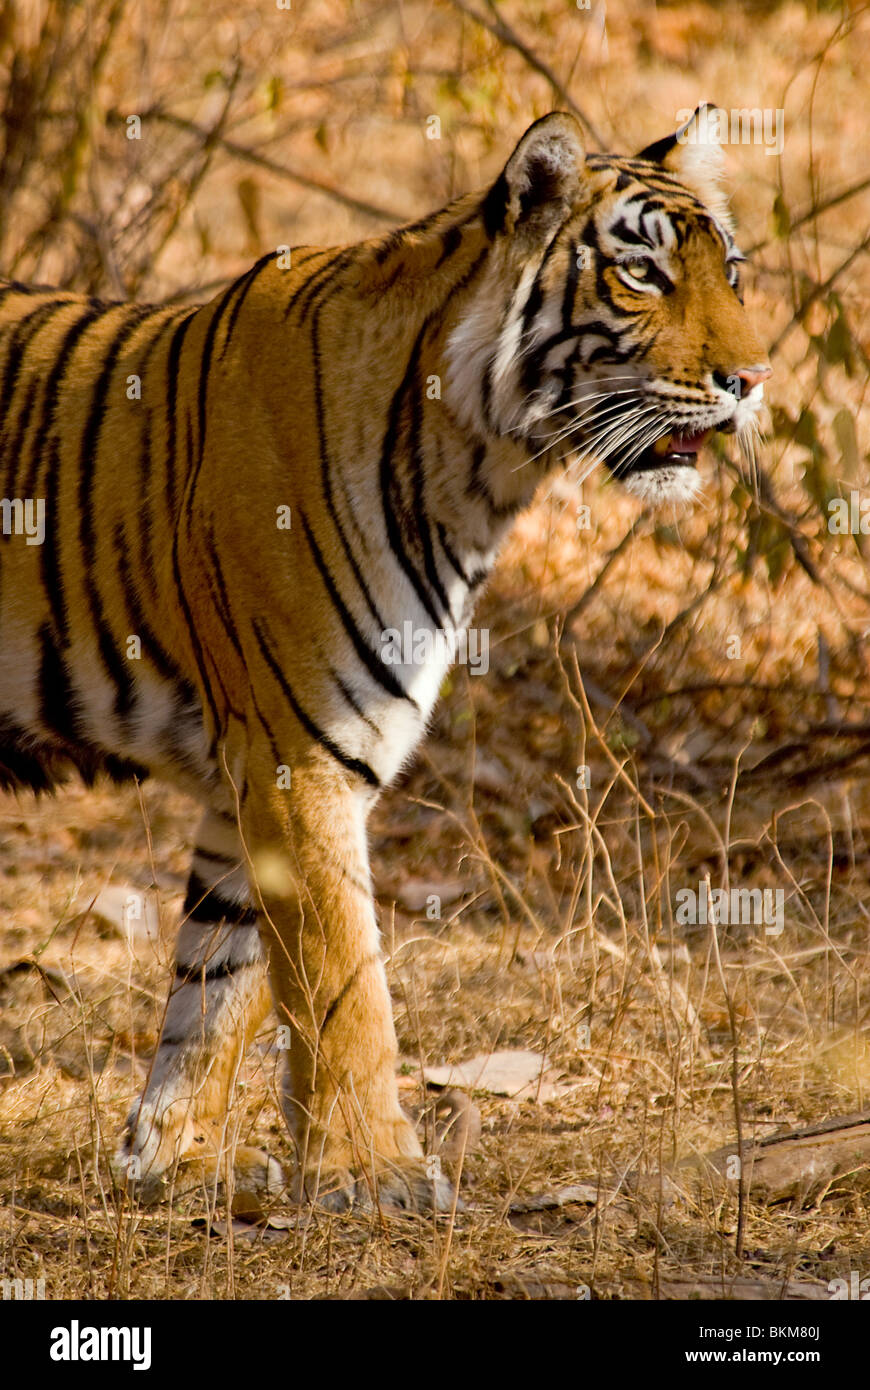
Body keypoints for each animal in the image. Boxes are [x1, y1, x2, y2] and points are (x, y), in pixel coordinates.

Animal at [0, 103, 769, 1212]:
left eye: (732, 271)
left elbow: (217, 981)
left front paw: (177, 1160)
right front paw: (381, 1169)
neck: (486, 468)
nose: (752, 381)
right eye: (643, 272)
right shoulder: (299, 756)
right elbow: (342, 977)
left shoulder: (250, 768)